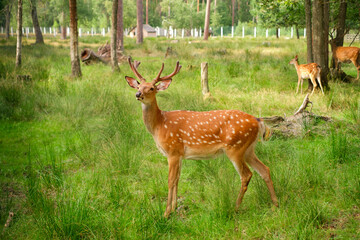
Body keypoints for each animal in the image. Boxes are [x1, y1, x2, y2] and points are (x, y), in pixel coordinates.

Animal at [125, 58, 280, 218]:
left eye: (151, 88)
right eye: (139, 85)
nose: (138, 94)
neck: (160, 124)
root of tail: (258, 121)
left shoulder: (173, 150)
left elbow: (170, 181)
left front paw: (166, 213)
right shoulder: (180, 154)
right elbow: (177, 179)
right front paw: (174, 208)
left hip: (235, 147)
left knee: (246, 174)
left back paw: (236, 207)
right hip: (249, 149)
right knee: (265, 169)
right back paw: (275, 204)